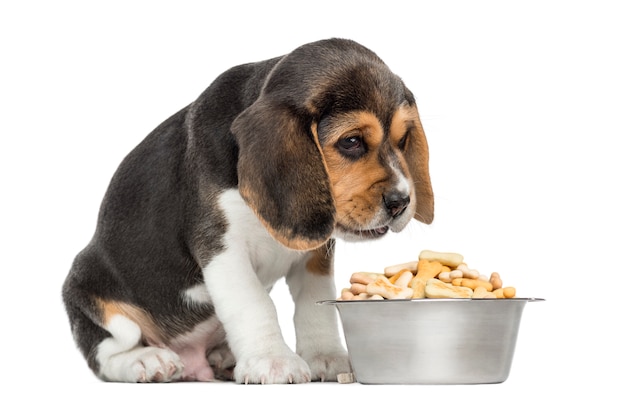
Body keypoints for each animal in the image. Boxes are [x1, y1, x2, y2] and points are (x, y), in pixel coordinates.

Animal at [63, 37, 434, 382]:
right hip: (90, 291)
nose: (401, 202)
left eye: (403, 140)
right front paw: (273, 361)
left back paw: (222, 357)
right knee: (107, 353)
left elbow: (315, 306)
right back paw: (147, 361)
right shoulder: (222, 249)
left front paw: (326, 357)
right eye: (352, 141)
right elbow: (255, 305)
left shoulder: (316, 253)